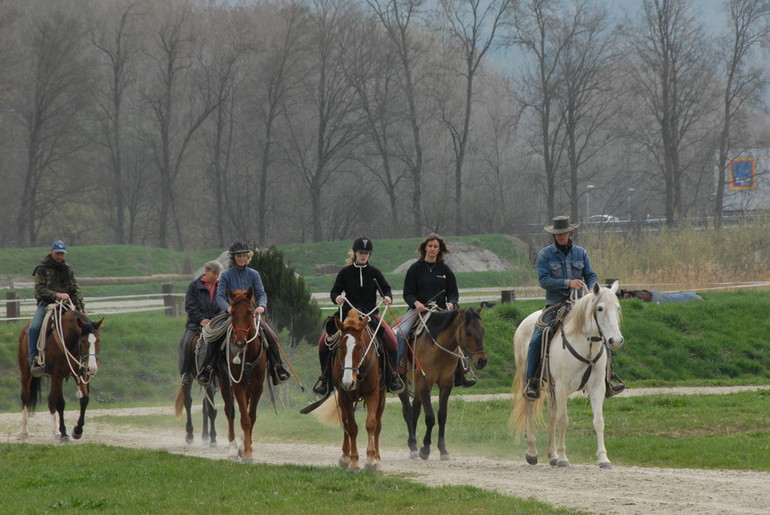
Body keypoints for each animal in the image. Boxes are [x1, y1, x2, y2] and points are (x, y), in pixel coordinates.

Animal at [17, 302, 103, 444]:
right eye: (83, 341)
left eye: (98, 340)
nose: (92, 368)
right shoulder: (57, 375)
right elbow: (60, 403)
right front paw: (64, 434)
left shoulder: (80, 373)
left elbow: (84, 399)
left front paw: (77, 431)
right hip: (26, 372)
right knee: (26, 397)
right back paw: (24, 432)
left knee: (50, 400)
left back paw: (54, 432)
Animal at [214, 288, 266, 462]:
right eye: (232, 313)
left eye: (250, 312)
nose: (240, 343)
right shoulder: (238, 386)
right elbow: (244, 419)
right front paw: (247, 453)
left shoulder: (257, 388)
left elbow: (252, 417)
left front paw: (246, 449)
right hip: (225, 383)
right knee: (229, 411)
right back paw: (232, 449)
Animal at [312, 308, 384, 474]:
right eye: (339, 347)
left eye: (359, 346)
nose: (348, 382)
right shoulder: (344, 396)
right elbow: (351, 427)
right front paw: (353, 461)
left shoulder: (373, 394)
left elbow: (371, 424)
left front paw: (371, 460)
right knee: (345, 421)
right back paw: (345, 456)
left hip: (382, 396)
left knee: (378, 425)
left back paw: (377, 459)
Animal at [396, 304, 486, 462]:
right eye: (468, 332)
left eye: (483, 330)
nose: (482, 361)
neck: (438, 348)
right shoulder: (425, 383)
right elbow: (430, 417)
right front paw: (425, 449)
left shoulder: (445, 384)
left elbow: (442, 416)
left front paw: (443, 449)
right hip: (405, 383)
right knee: (407, 410)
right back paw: (413, 446)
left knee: (415, 410)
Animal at [510, 280, 624, 470]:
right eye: (600, 308)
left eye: (618, 307)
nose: (615, 341)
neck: (585, 346)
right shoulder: (562, 387)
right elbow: (563, 420)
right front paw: (564, 458)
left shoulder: (597, 388)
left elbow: (598, 421)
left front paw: (604, 459)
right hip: (529, 378)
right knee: (530, 405)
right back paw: (532, 452)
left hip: (552, 386)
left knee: (551, 413)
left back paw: (552, 455)